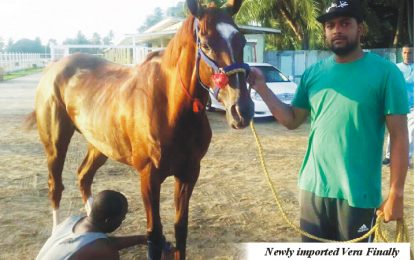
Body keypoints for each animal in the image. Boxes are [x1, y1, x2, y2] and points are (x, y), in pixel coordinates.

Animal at [27, 0, 254, 258]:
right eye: (205, 44)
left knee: (84, 176)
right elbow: (154, 234)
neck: (169, 107)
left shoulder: (188, 174)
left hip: (100, 144)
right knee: (55, 186)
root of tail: (55, 67)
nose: (242, 110)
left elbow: (180, 229)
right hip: (55, 143)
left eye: (242, 41)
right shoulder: (149, 177)